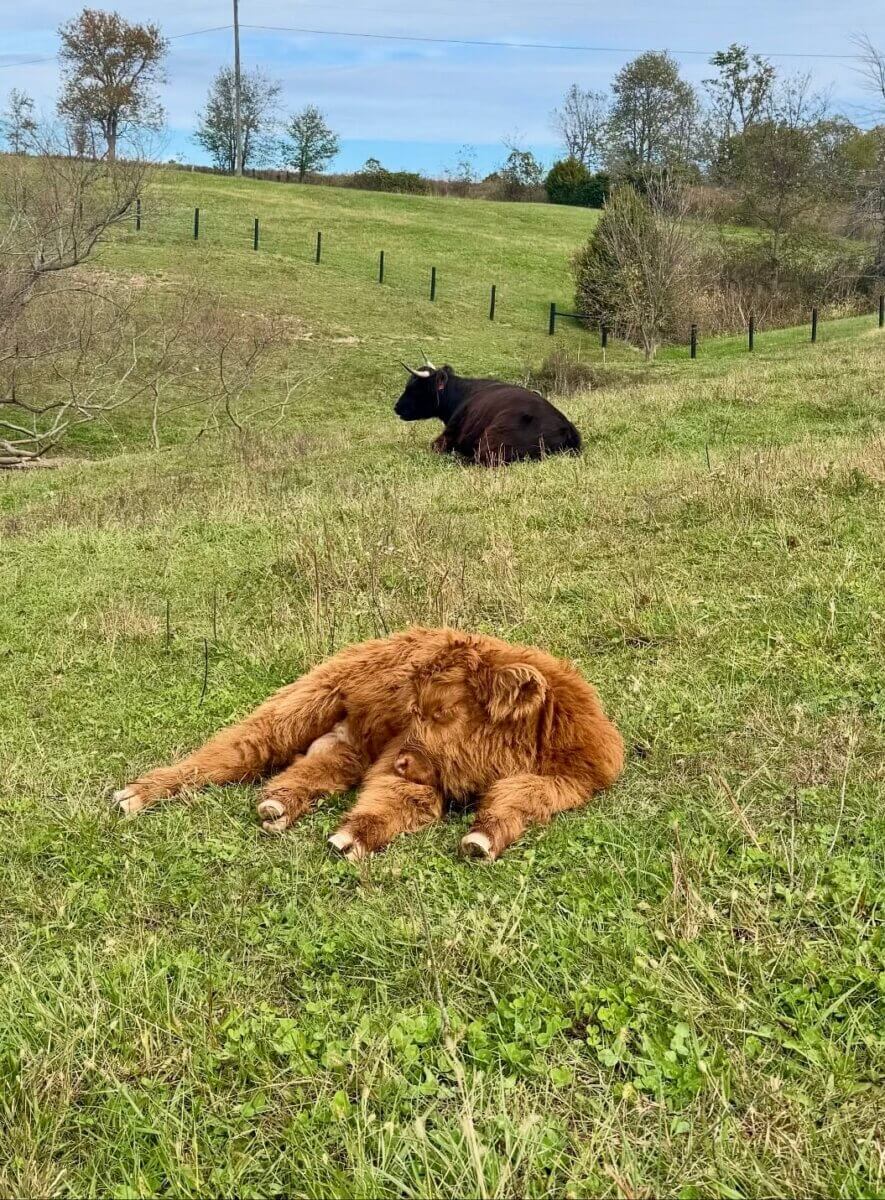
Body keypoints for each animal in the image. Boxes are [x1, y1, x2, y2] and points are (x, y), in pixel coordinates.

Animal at [394, 360, 582, 465]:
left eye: (415, 387)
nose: (396, 407)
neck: (463, 395)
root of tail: (566, 427)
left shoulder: (449, 434)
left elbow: (433, 446)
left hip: (493, 441)